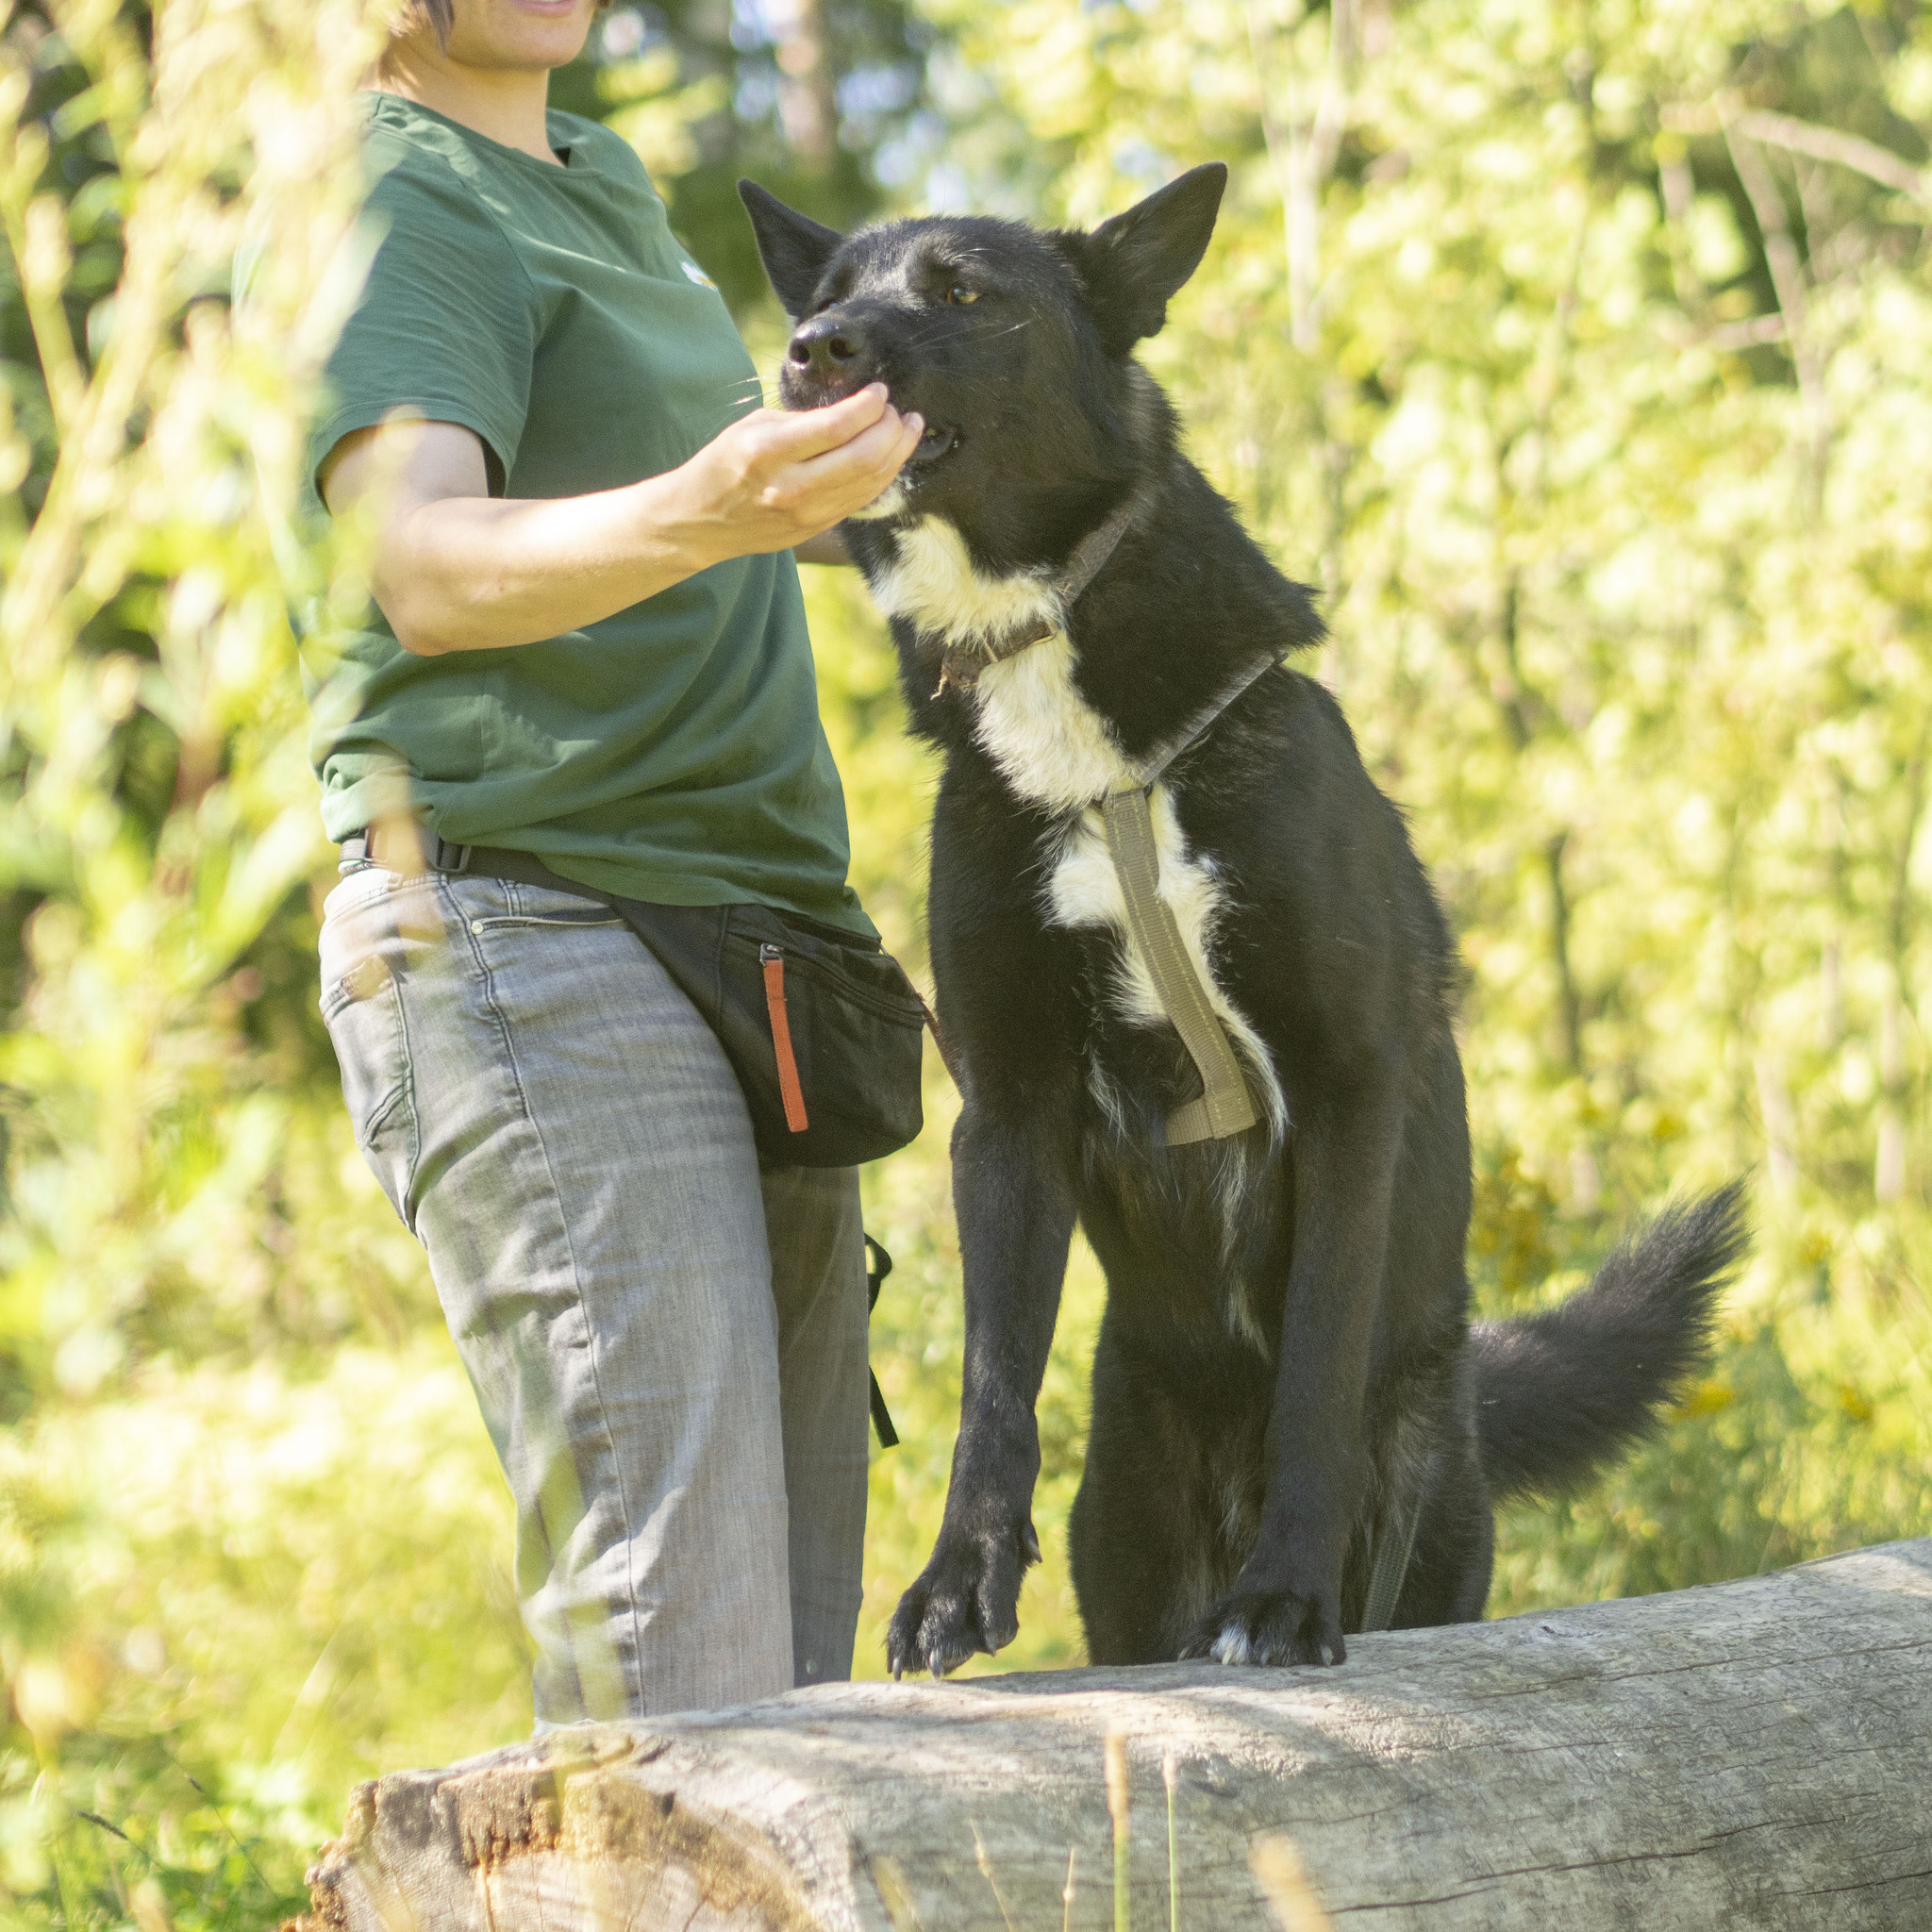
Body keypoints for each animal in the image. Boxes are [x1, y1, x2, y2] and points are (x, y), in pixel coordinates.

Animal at [738, 162, 1754, 1676]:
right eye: (826, 293)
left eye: (960, 290)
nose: (809, 354)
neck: (1091, 748)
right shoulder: (1010, 1110)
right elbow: (992, 1386)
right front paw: (953, 1585)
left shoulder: (1345, 1088)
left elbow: (1316, 1372)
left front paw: (1280, 1599)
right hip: (1127, 1539)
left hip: (1429, 1514)